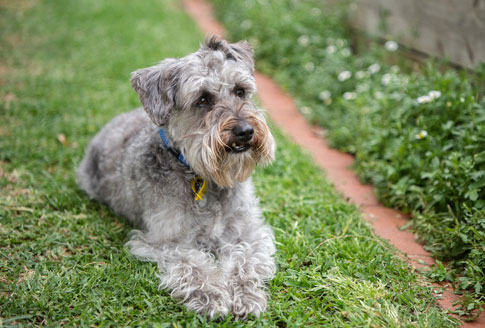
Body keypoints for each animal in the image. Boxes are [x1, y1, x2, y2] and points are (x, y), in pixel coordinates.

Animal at [78, 37, 278, 320]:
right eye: (202, 99)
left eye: (240, 91)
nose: (245, 131)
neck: (203, 178)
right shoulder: (165, 241)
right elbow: (192, 263)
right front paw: (212, 295)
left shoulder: (249, 232)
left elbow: (243, 259)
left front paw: (245, 294)